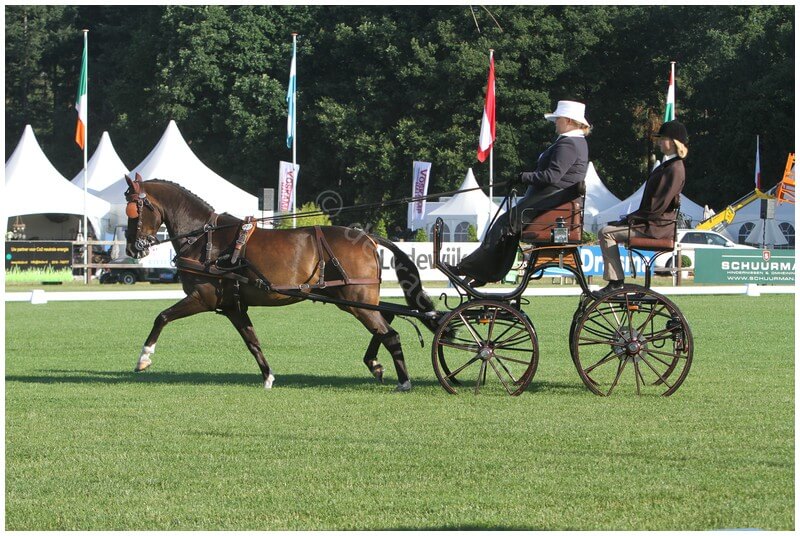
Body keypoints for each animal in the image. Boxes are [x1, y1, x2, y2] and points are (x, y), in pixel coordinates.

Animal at [122, 173, 441, 392]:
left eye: (134, 209)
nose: (133, 248)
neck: (205, 238)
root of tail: (366, 237)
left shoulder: (203, 298)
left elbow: (162, 317)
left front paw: (144, 358)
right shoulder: (234, 307)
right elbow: (252, 341)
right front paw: (268, 376)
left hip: (358, 301)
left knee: (391, 334)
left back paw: (403, 381)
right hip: (356, 301)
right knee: (387, 322)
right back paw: (375, 364)